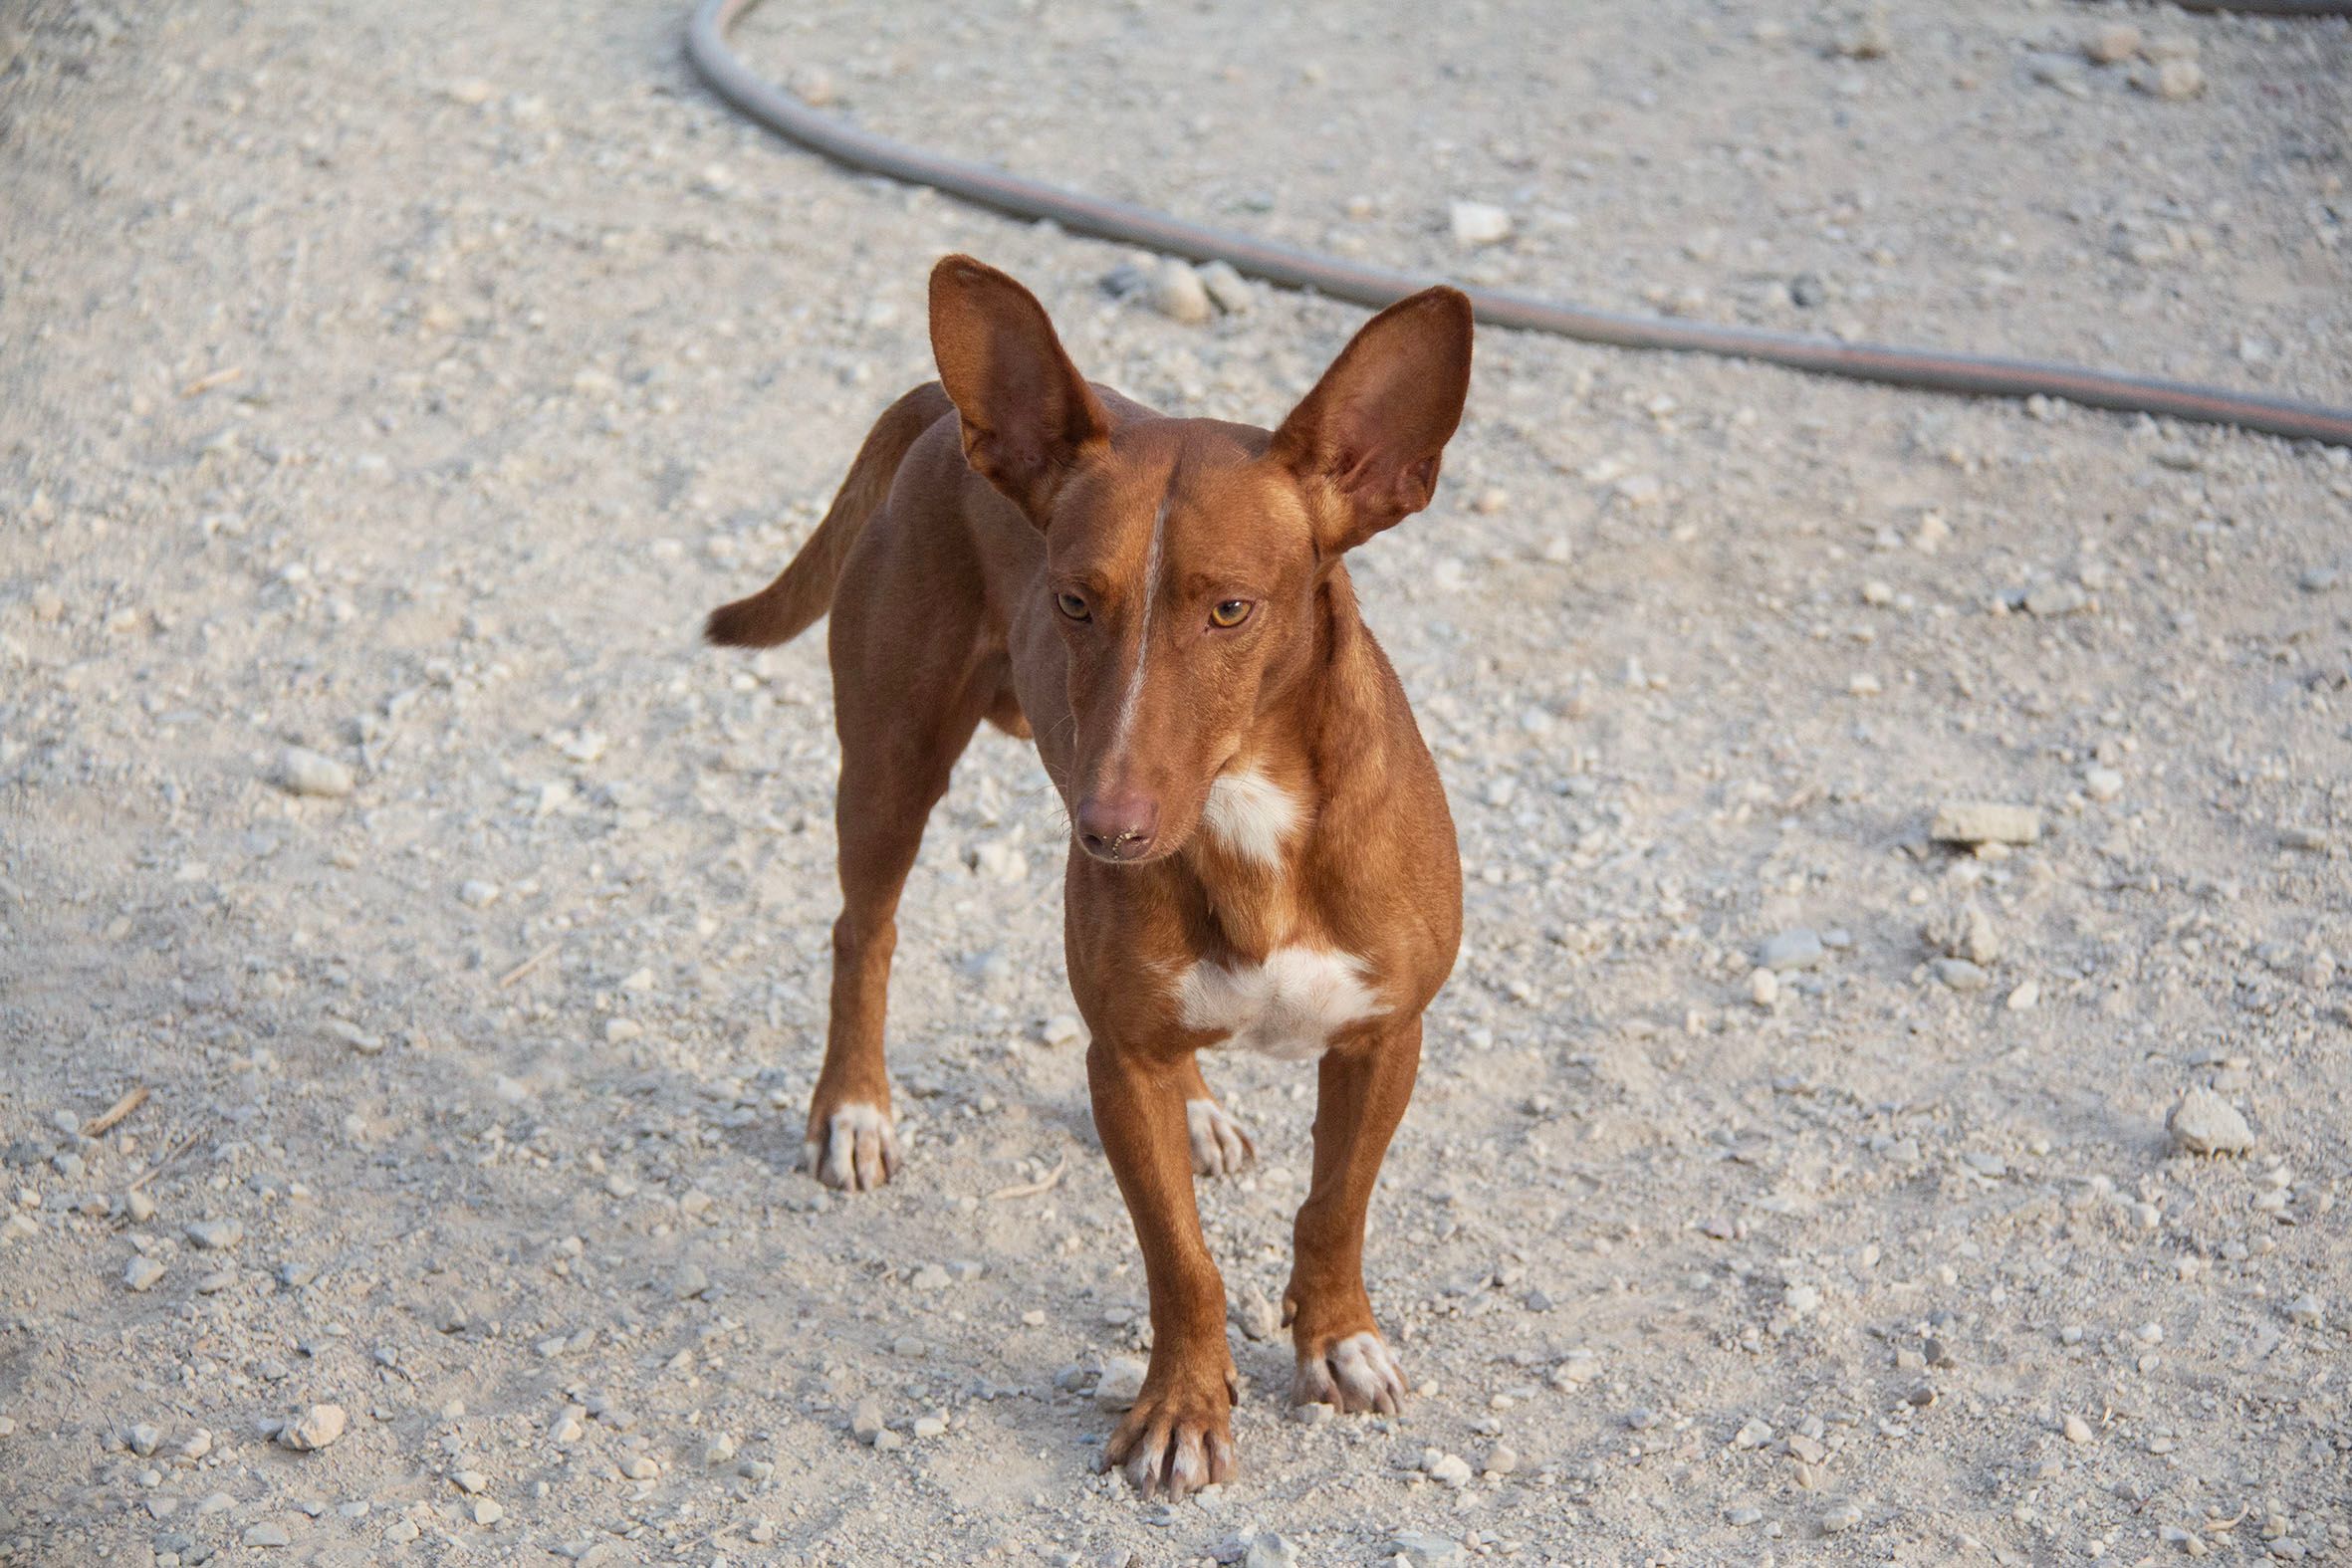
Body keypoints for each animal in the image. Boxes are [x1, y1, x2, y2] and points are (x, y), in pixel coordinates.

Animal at [706, 255, 1469, 1497]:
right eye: (1072, 599)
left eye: (1231, 608)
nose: (1109, 829)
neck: (1245, 813)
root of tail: (942, 409)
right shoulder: (1119, 1065)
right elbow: (1181, 1262)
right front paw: (1181, 1410)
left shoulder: (1383, 1037)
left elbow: (1333, 1208)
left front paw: (1337, 1339)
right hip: (889, 765)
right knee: (863, 932)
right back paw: (854, 1111)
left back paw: (1198, 1110)